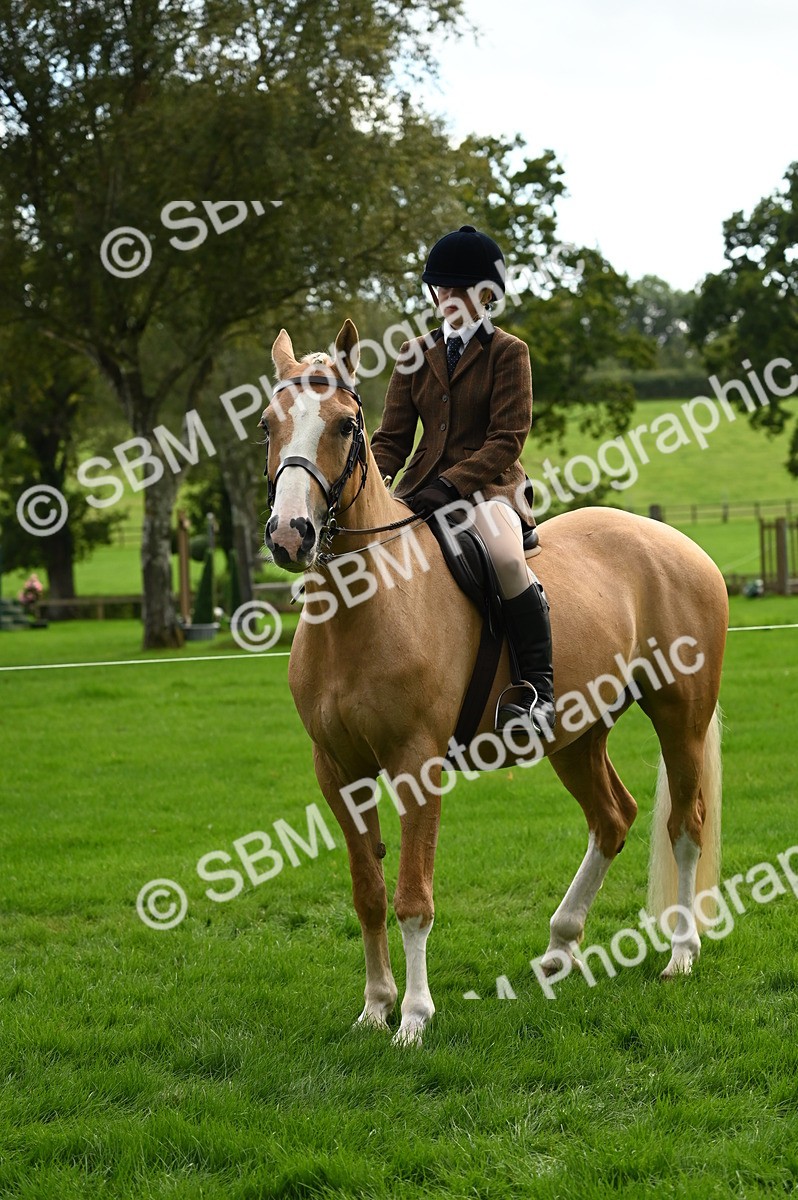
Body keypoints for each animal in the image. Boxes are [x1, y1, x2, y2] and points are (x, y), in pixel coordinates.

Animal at [261, 319, 728, 1046]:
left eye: (343, 425)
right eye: (266, 424)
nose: (290, 534)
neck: (362, 606)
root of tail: (679, 543)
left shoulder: (416, 763)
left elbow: (413, 897)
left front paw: (414, 1018)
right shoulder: (337, 770)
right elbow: (368, 892)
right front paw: (374, 1007)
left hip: (680, 716)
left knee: (685, 824)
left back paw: (680, 954)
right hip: (577, 735)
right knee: (612, 818)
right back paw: (560, 947)